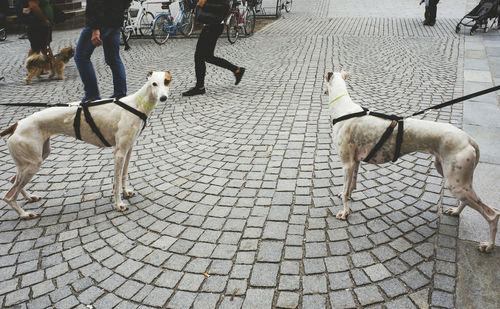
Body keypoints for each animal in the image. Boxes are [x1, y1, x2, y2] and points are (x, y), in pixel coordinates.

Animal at [0, 70, 171, 219]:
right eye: (154, 83)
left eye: (166, 81)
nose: (163, 98)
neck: (136, 104)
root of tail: (15, 126)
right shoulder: (119, 153)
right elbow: (116, 181)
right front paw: (119, 204)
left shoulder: (128, 149)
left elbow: (123, 175)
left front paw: (126, 192)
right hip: (32, 164)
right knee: (9, 196)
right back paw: (24, 214)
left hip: (35, 158)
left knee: (13, 181)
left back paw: (29, 197)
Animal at [324, 68, 500, 251]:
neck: (344, 109)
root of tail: (469, 139)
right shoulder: (355, 162)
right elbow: (351, 186)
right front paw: (348, 197)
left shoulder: (347, 164)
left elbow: (346, 192)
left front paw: (345, 212)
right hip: (453, 178)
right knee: (467, 202)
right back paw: (456, 212)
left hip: (456, 184)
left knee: (493, 214)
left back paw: (488, 245)